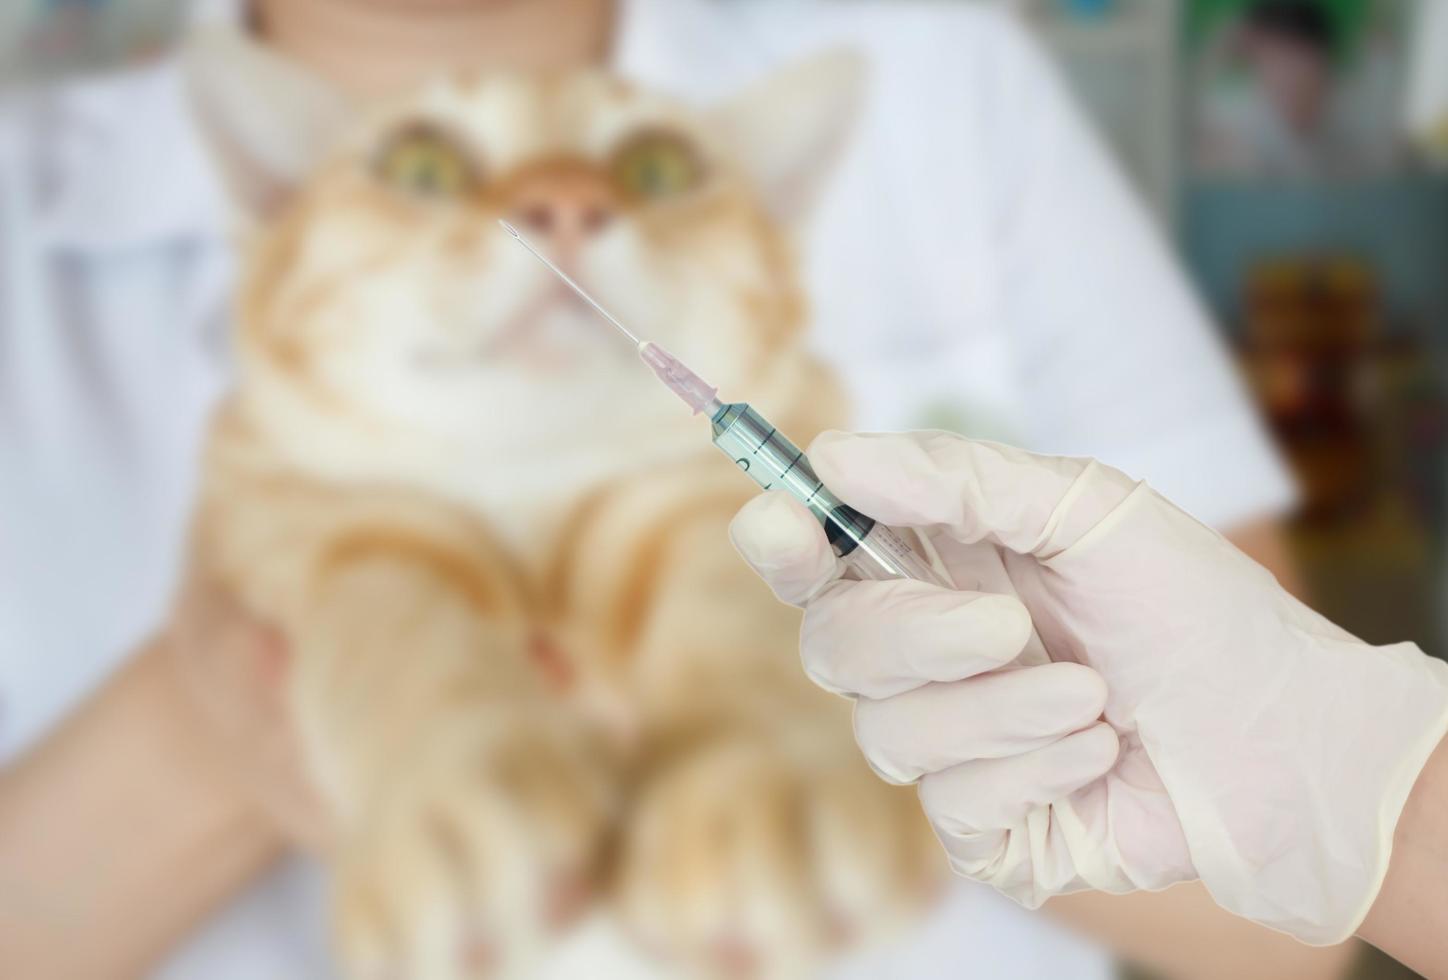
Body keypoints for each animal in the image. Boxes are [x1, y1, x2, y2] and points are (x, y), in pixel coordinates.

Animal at [181, 30, 938, 978]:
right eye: (420, 165)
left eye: (658, 166)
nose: (562, 201)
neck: (530, 486)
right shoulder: (342, 526)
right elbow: (402, 629)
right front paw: (458, 803)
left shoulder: (687, 506)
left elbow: (741, 634)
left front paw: (761, 786)